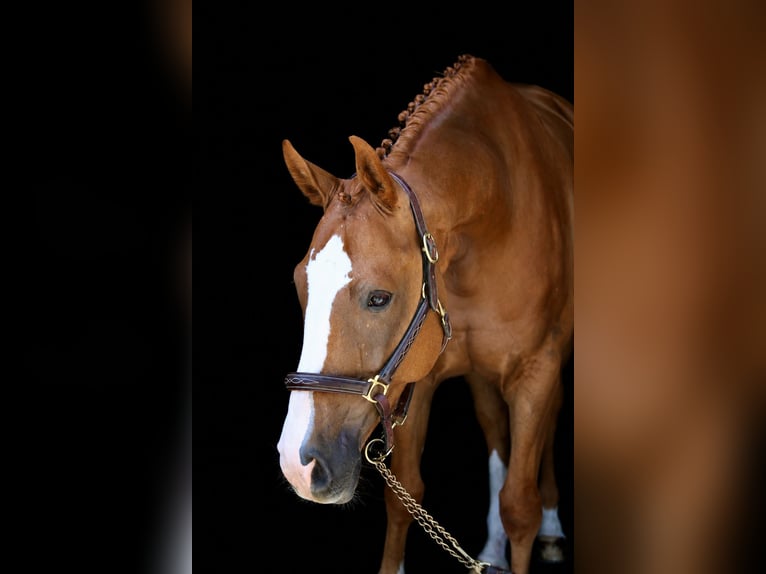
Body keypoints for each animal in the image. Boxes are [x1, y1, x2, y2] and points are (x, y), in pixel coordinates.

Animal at [276, 54, 573, 574]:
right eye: (299, 286)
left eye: (379, 297)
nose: (299, 464)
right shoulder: (417, 374)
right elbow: (405, 498)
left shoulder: (536, 371)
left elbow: (521, 506)